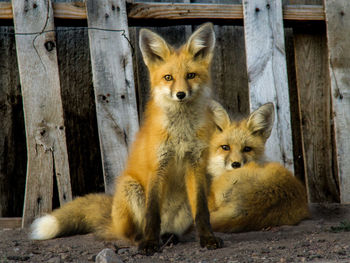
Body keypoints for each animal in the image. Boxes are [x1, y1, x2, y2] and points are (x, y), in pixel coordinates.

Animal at [30, 23, 223, 256]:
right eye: (168, 77)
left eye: (191, 75)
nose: (180, 94)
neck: (181, 132)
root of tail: (113, 219)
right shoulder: (156, 167)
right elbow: (152, 214)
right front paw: (149, 244)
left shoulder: (196, 166)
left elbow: (202, 212)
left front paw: (208, 239)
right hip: (130, 187)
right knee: (130, 234)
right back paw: (144, 239)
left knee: (172, 229)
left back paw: (169, 237)